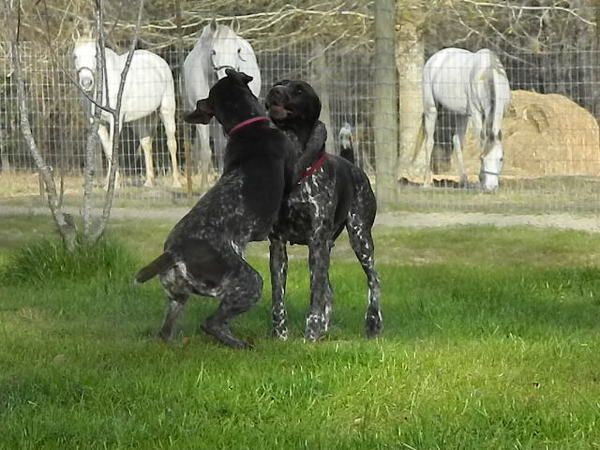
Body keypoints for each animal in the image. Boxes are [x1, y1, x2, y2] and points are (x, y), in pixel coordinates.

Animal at [73, 37, 182, 188]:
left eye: (95, 55)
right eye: (75, 56)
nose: (86, 83)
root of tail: (159, 61)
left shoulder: (115, 120)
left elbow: (113, 148)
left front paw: (113, 184)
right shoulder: (98, 123)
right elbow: (108, 149)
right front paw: (111, 183)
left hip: (166, 110)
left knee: (171, 143)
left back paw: (176, 182)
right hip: (139, 119)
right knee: (146, 143)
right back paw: (149, 181)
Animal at [135, 69, 294, 349]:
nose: (196, 104)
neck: (248, 124)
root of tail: (174, 253)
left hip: (177, 297)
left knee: (166, 333)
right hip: (249, 282)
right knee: (212, 323)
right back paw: (241, 345)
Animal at [265, 79, 382, 341]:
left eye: (299, 89)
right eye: (279, 84)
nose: (273, 91)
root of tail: (352, 164)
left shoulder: (317, 242)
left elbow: (316, 295)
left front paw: (312, 332)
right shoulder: (278, 246)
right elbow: (279, 298)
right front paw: (280, 335)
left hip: (361, 239)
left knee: (374, 281)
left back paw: (373, 323)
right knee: (329, 290)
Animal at [413, 48, 511, 192]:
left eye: (501, 159)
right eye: (482, 159)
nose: (491, 187)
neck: (487, 72)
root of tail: (434, 59)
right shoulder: (476, 113)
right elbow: (481, 141)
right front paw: (481, 181)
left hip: (461, 115)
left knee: (457, 142)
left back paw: (464, 181)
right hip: (431, 108)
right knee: (429, 142)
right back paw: (426, 182)